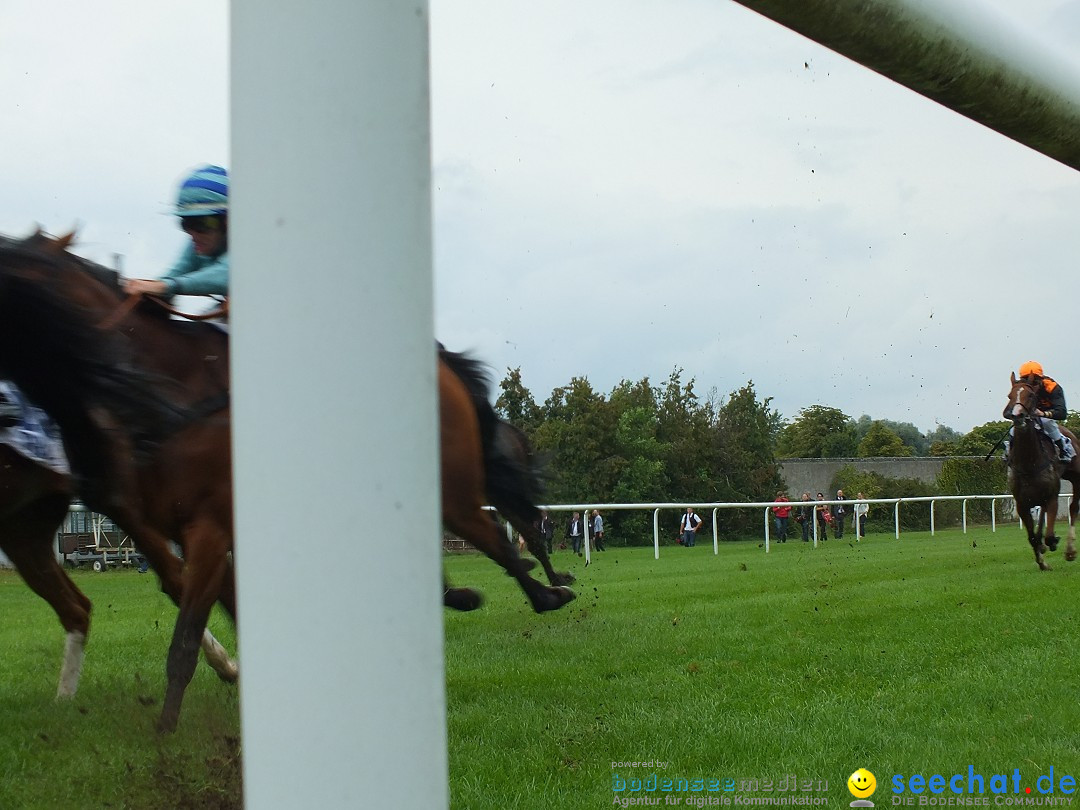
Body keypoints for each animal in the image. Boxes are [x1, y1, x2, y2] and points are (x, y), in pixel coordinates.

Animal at [1002, 373, 1080, 570]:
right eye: (1009, 396)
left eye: (1030, 395)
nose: (1017, 415)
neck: (1029, 463)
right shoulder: (1021, 503)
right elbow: (1032, 537)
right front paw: (1042, 562)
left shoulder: (1052, 497)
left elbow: (1050, 535)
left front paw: (1052, 544)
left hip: (1076, 477)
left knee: (1074, 508)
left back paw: (1070, 550)